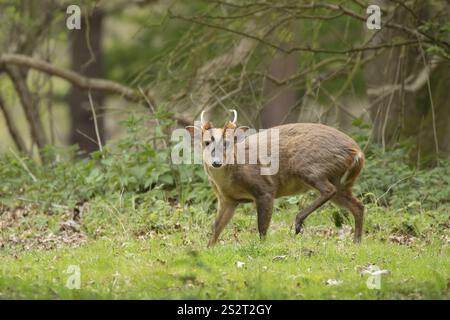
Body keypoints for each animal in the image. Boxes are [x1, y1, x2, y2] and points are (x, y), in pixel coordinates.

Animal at [186, 110, 366, 248]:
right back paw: (356, 242)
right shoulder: (227, 199)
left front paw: (262, 247)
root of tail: (357, 152)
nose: (217, 162)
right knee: (358, 205)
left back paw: (298, 223)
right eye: (206, 142)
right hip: (342, 181)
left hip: (309, 166)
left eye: (228, 143)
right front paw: (208, 248)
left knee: (329, 190)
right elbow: (216, 226)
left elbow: (262, 226)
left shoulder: (265, 189)